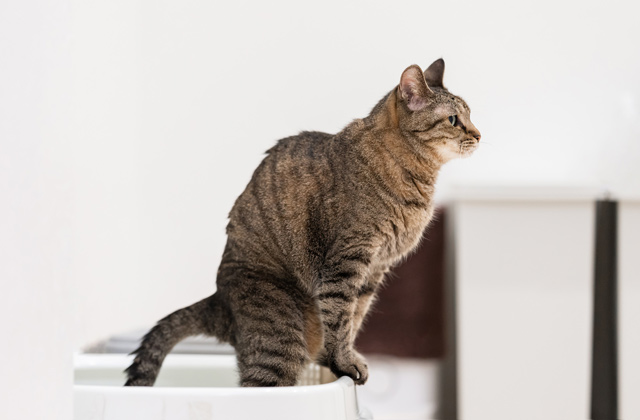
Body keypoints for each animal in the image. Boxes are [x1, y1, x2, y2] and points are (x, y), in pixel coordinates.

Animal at [124, 59, 480, 388]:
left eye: (471, 116)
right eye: (453, 119)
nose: (479, 134)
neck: (415, 175)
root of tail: (219, 301)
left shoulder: (374, 269)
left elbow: (355, 317)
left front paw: (342, 359)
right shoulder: (346, 261)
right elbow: (340, 316)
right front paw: (344, 361)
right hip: (279, 333)